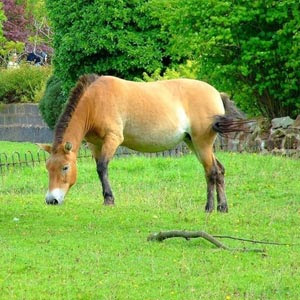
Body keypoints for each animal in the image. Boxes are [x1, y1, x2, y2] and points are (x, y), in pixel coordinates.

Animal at [38, 74, 247, 211]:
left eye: (65, 167)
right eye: (48, 168)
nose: (51, 200)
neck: (95, 102)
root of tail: (217, 93)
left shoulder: (113, 139)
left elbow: (102, 167)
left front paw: (109, 199)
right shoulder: (95, 145)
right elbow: (99, 168)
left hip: (202, 143)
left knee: (211, 172)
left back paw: (209, 207)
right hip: (193, 143)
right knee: (218, 170)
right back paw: (223, 207)